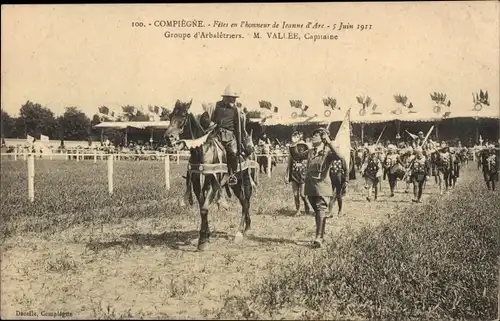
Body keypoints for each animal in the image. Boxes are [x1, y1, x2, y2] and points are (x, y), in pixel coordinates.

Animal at [165, 99, 256, 250]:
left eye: (183, 116)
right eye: (170, 115)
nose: (168, 137)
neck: (202, 151)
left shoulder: (214, 182)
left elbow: (204, 208)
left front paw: (202, 240)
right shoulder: (197, 183)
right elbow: (202, 207)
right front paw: (206, 236)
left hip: (245, 180)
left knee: (246, 202)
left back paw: (240, 232)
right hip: (235, 185)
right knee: (244, 201)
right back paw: (247, 227)